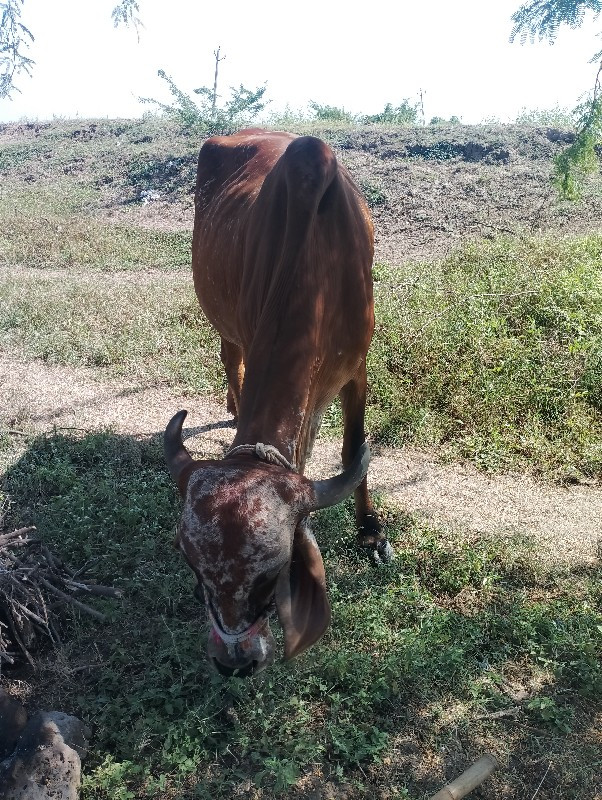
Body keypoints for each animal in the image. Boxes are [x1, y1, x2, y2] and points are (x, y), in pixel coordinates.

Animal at [165, 130, 390, 676]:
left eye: (272, 574)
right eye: (193, 568)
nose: (233, 663)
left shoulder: (357, 365)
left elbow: (354, 448)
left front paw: (370, 531)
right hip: (225, 320)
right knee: (229, 357)